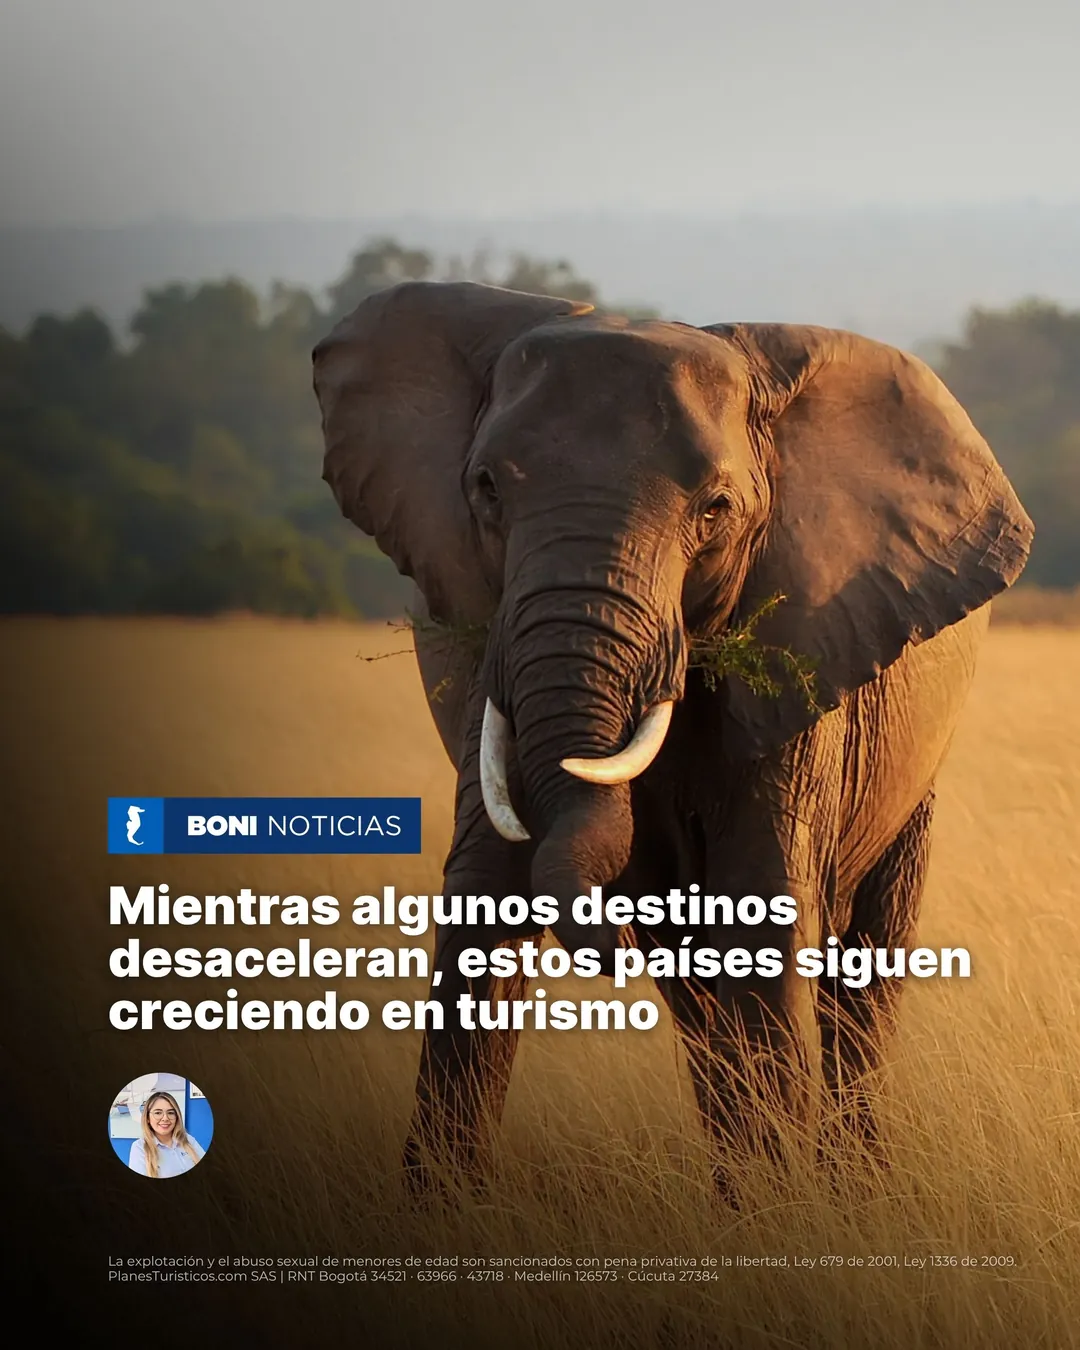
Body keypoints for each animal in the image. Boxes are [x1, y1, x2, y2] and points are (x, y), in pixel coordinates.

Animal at [312, 282, 1033, 1194]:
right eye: (486, 489)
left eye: (716, 510)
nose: (604, 949)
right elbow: (485, 892)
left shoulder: (806, 647)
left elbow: (764, 906)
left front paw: (786, 1214)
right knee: (698, 994)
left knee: (863, 970)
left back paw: (848, 1184)